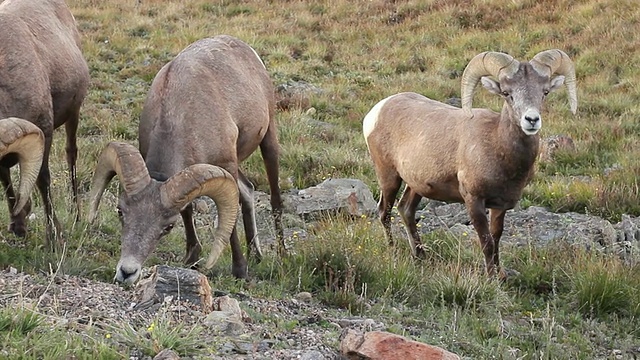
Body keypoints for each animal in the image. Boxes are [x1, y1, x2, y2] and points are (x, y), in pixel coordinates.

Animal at [0, 0, 90, 245]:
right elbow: (7, 181)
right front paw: (18, 224)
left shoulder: (44, 132)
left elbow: (43, 180)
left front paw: (54, 236)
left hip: (73, 114)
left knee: (71, 154)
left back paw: (76, 214)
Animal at [89, 35, 284, 286]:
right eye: (120, 211)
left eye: (168, 227)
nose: (127, 272)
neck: (180, 113)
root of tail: (246, 49)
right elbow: (188, 210)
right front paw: (191, 259)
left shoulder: (227, 166)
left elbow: (230, 222)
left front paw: (240, 270)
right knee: (248, 190)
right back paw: (255, 254)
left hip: (268, 139)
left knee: (274, 200)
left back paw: (281, 254)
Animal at [362, 49, 576, 278]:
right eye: (507, 93)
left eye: (545, 92)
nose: (532, 120)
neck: (497, 146)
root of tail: (376, 111)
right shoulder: (474, 201)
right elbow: (487, 243)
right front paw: (491, 279)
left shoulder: (499, 206)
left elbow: (496, 239)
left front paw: (500, 275)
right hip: (389, 177)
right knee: (384, 212)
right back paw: (393, 251)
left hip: (416, 185)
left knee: (406, 210)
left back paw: (420, 256)